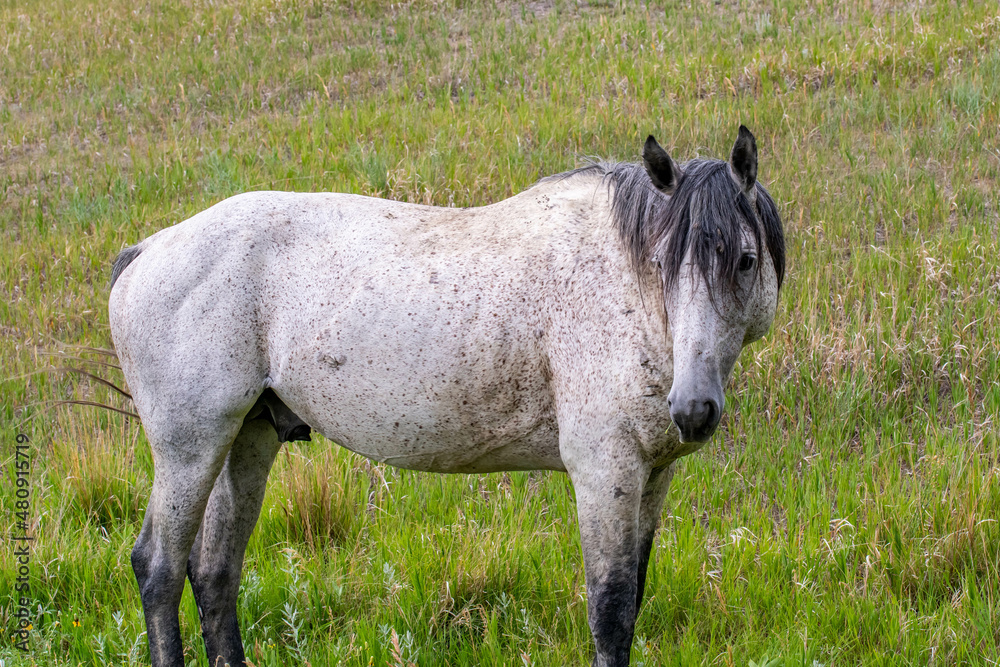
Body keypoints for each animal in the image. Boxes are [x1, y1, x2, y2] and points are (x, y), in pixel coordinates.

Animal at [108, 126, 784, 667]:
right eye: (662, 265)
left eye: (746, 261)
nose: (693, 409)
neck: (621, 290)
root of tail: (147, 250)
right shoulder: (605, 472)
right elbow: (611, 613)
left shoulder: (652, 476)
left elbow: (633, 601)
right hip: (189, 449)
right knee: (159, 568)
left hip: (246, 440)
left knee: (214, 574)